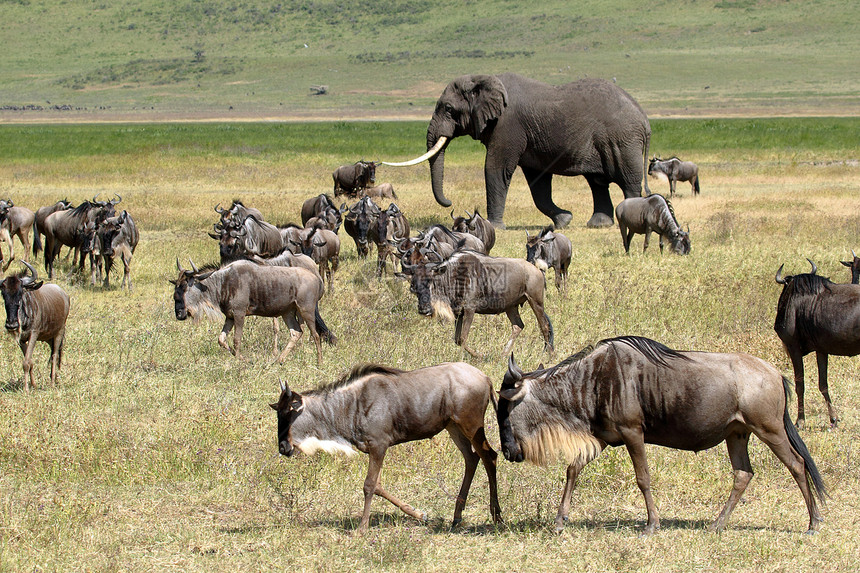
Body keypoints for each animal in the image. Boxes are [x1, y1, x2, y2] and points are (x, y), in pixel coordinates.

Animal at [386, 73, 648, 228]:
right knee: (597, 182)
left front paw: (493, 226)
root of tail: (644, 118)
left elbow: (496, 168)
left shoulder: (508, 126)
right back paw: (598, 225)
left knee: (628, 180)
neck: (483, 79)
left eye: (449, 109)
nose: (450, 202)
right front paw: (564, 220)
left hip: (624, 140)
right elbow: (538, 183)